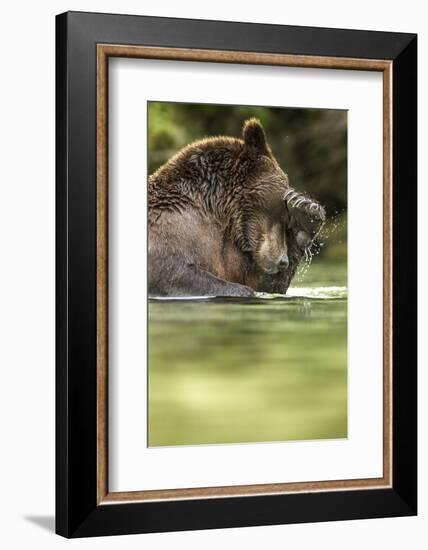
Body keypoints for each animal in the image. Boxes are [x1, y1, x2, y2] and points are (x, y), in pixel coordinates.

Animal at [148, 119, 324, 298]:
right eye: (282, 213)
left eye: (288, 219)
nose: (283, 261)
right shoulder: (171, 231)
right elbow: (174, 273)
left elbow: (262, 283)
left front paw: (307, 212)